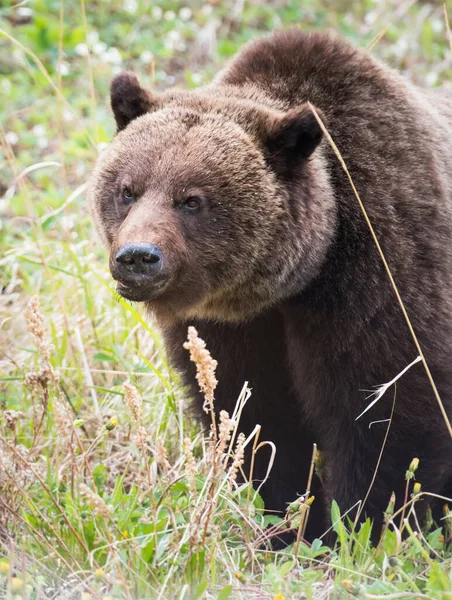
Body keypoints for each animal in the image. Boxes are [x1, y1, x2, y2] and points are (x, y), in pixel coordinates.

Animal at [88, 30, 452, 540]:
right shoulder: (232, 328)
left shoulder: (383, 275)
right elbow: (253, 420)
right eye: (127, 190)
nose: (138, 257)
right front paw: (285, 521)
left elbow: (388, 412)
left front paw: (366, 524)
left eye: (192, 199)